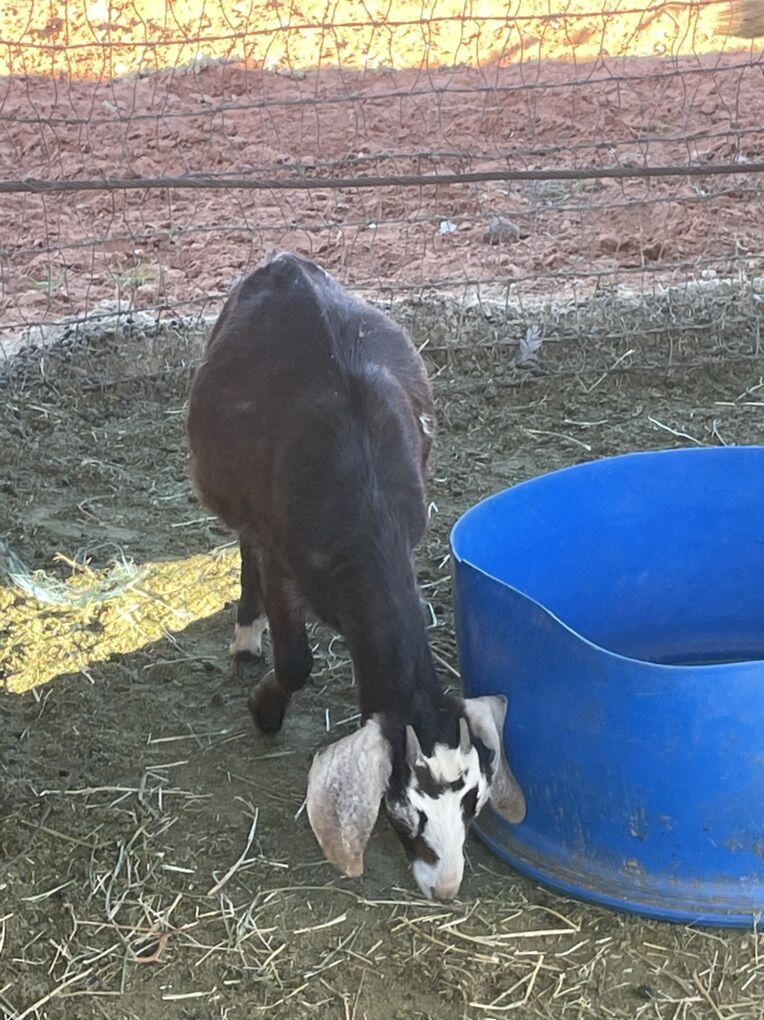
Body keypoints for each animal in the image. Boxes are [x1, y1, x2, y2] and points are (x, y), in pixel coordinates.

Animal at [187, 252, 525, 899]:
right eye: (404, 811)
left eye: (472, 803)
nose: (445, 886)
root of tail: (286, 262)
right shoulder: (281, 552)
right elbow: (295, 659)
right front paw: (264, 709)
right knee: (242, 546)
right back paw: (246, 635)